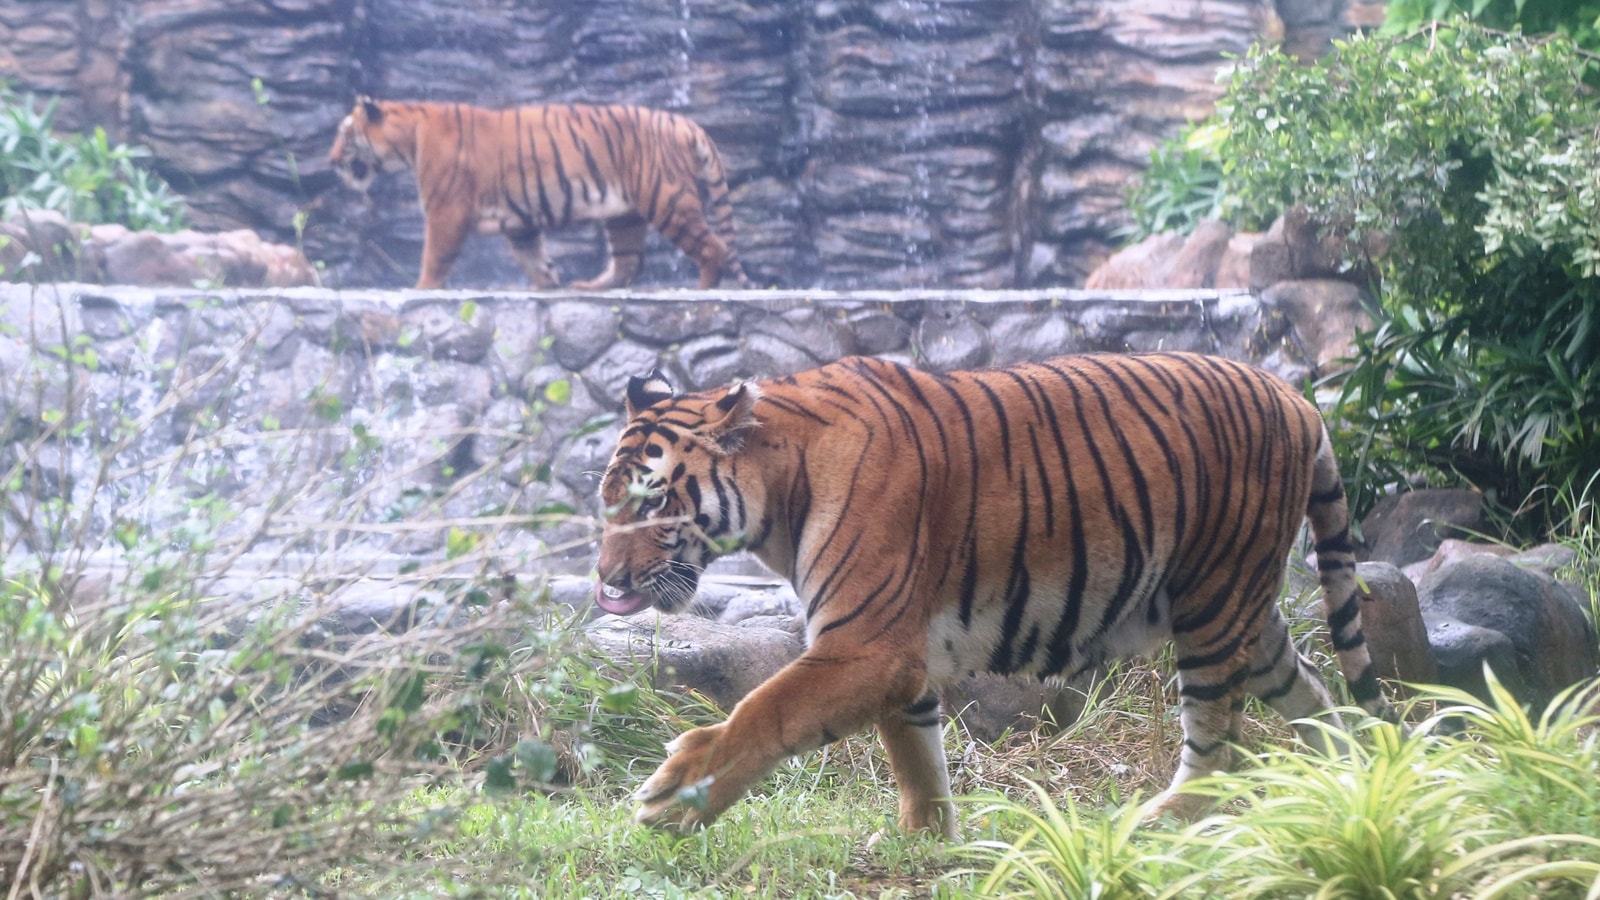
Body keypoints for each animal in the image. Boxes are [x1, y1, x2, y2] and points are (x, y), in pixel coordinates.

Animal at [328, 97, 748, 291]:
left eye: (344, 135)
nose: (330, 161)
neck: (408, 138)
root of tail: (685, 122)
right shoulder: (521, 222)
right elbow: (532, 257)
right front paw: (547, 284)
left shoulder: (445, 210)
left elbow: (434, 255)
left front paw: (422, 289)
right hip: (624, 214)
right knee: (629, 262)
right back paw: (588, 286)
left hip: (667, 198)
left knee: (713, 247)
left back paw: (703, 290)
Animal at [593, 351, 1398, 836]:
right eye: (606, 502)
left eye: (652, 501)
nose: (606, 584)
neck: (779, 488)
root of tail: (1296, 398)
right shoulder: (900, 654)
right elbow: (915, 752)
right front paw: (929, 841)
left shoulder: (868, 643)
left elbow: (767, 710)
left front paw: (675, 794)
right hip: (1244, 612)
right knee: (1313, 691)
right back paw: (1347, 785)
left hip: (1215, 604)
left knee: (1219, 741)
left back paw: (1160, 821)